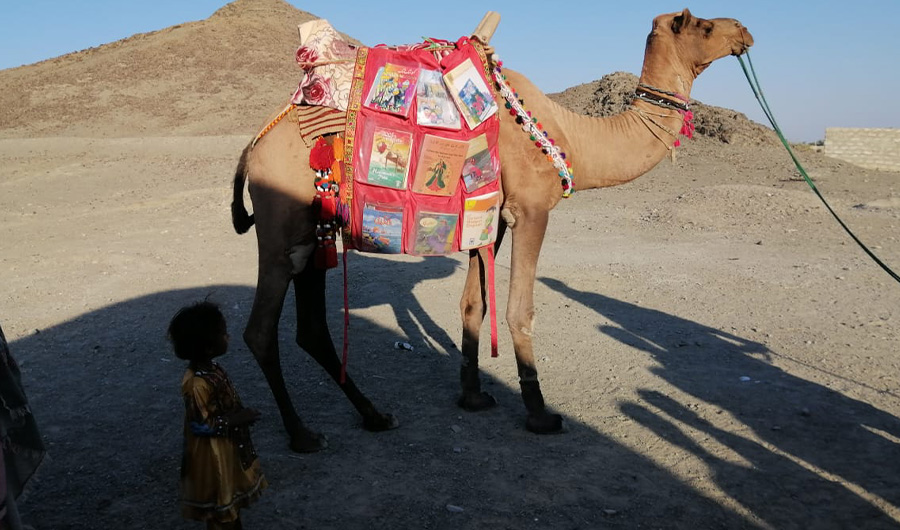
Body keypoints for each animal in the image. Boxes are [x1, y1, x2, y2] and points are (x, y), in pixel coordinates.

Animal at [232, 8, 752, 448]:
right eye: (704, 25)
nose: (744, 31)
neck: (570, 138)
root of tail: (253, 146)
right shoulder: (532, 210)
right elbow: (520, 309)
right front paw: (539, 413)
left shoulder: (491, 218)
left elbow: (473, 303)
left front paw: (473, 396)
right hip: (280, 226)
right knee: (259, 331)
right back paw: (303, 435)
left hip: (312, 228)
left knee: (310, 327)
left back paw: (375, 415)